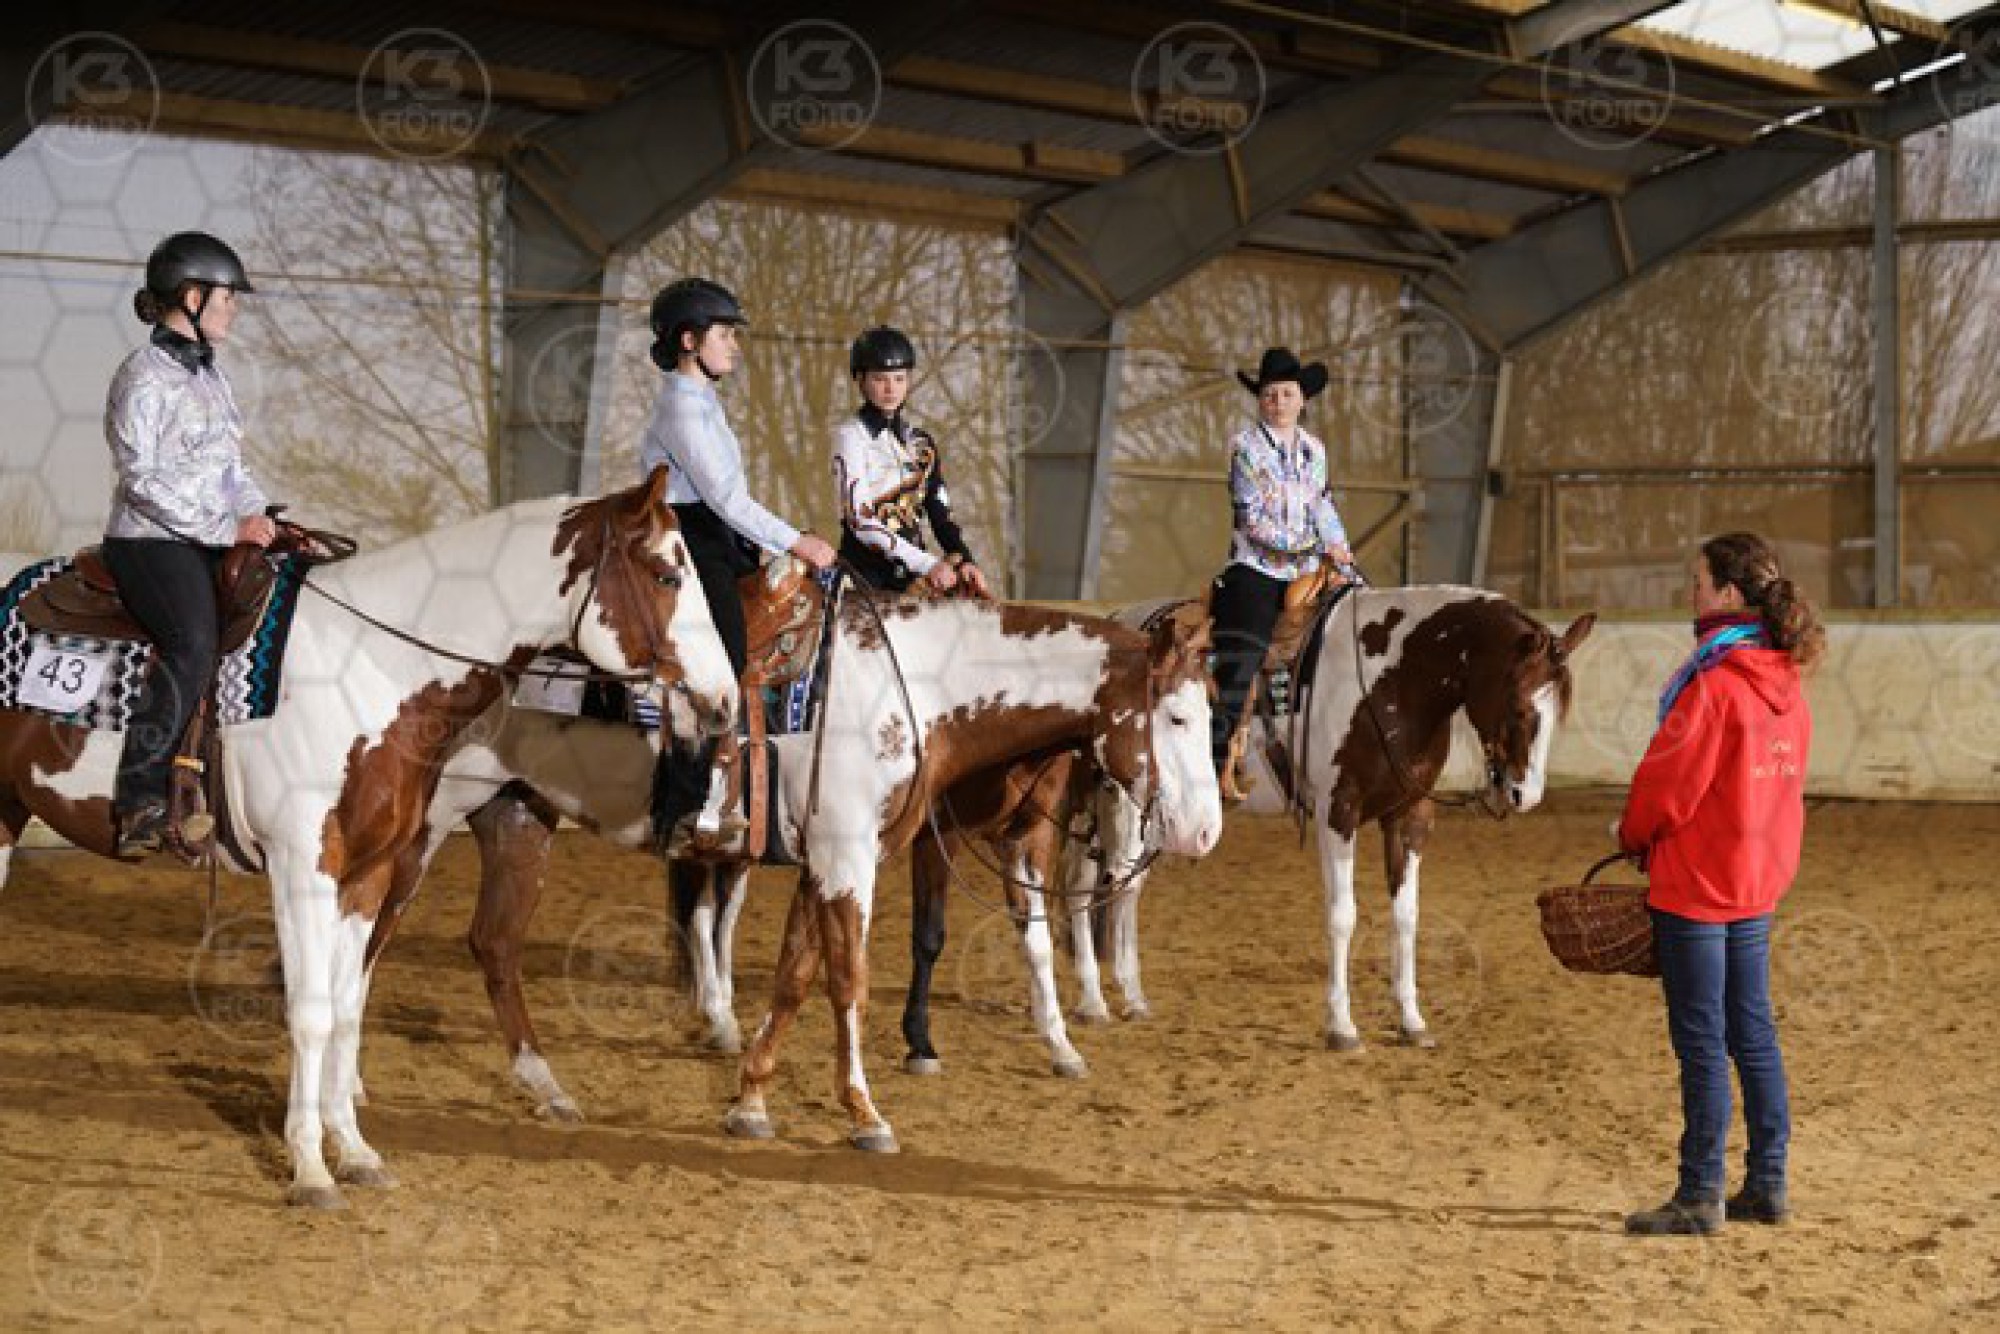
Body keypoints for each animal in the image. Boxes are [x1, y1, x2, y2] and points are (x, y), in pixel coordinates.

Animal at [0, 468, 737, 1207]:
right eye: (667, 573)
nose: (726, 700)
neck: (374, 667)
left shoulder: (370, 873)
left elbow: (349, 1004)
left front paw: (353, 1151)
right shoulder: (304, 865)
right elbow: (311, 1012)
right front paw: (310, 1167)